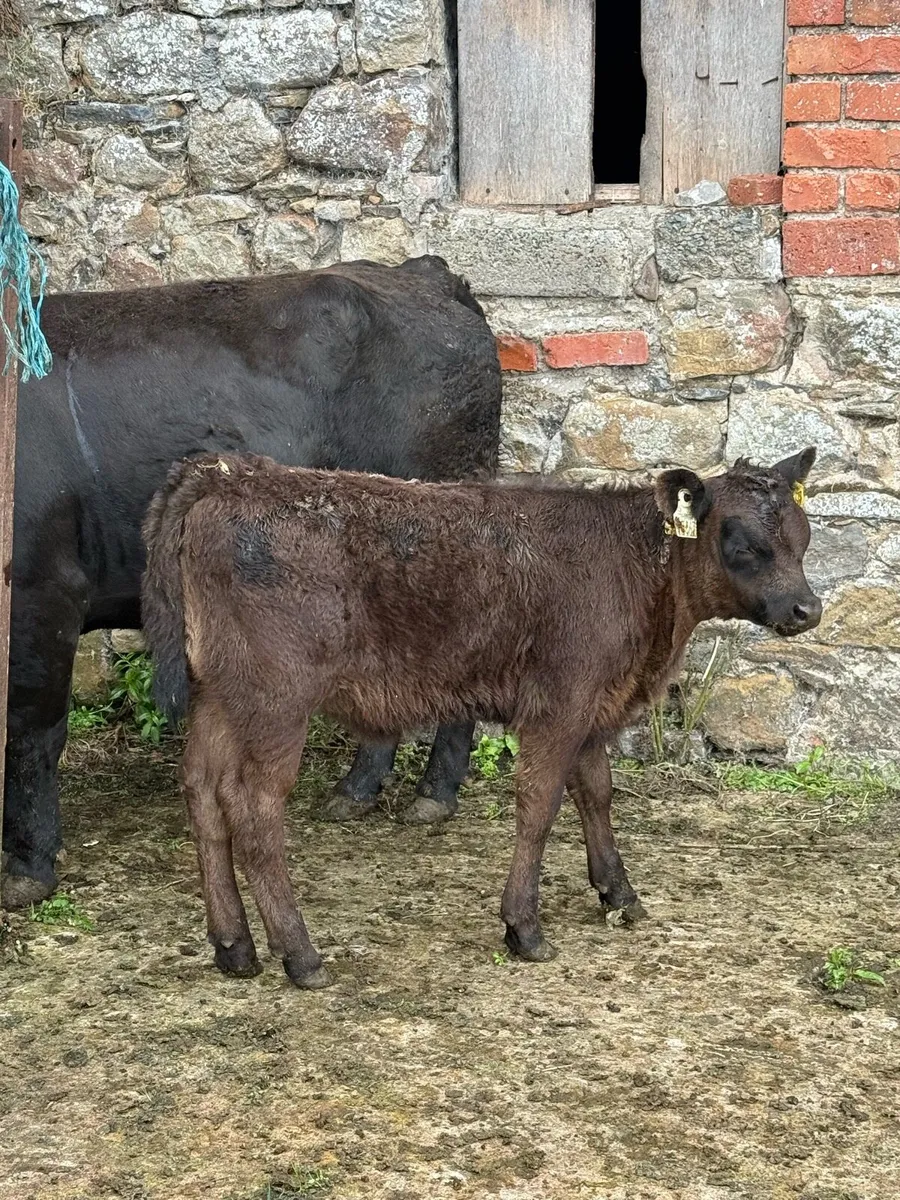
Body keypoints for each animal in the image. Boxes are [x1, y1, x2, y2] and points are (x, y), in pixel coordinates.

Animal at [1, 257, 501, 910]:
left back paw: (434, 792)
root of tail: (422, 272)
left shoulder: (41, 589)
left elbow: (31, 731)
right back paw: (359, 789)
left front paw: (27, 864)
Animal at [141, 447, 821, 988]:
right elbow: (540, 805)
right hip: (275, 701)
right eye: (743, 544)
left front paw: (618, 893)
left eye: (804, 536)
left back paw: (234, 946)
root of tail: (229, 473)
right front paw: (524, 926)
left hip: (219, 696)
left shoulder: (590, 705)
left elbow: (596, 793)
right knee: (253, 809)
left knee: (202, 793)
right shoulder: (560, 703)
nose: (807, 609)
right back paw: (301, 955)